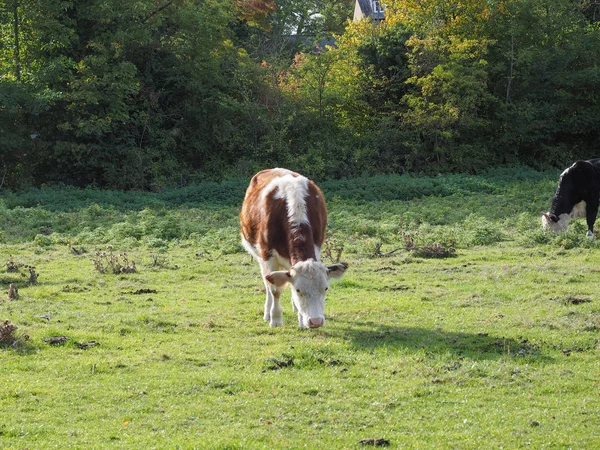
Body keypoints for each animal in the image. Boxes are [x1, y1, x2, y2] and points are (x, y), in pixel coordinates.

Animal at [241, 167, 350, 328]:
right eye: (299, 290)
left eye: (325, 288)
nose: (316, 321)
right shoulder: (268, 256)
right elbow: (275, 289)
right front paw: (276, 319)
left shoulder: (317, 247)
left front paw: (301, 320)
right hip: (259, 256)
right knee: (267, 283)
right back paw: (267, 313)